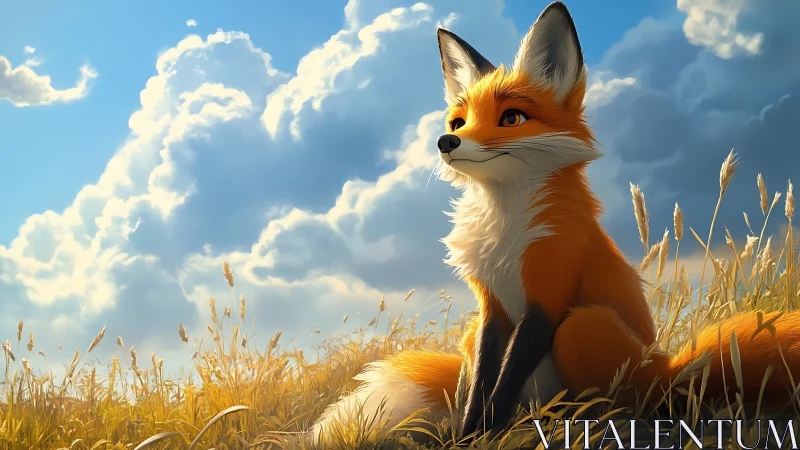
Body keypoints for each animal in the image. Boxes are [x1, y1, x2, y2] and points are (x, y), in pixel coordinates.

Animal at [311, 1, 800, 444]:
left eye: (511, 118)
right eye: (459, 120)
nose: (446, 141)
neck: (505, 229)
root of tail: (671, 372)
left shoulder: (549, 290)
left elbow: (505, 379)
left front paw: (488, 436)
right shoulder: (491, 307)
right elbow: (485, 383)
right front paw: (470, 436)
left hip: (583, 328)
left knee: (628, 407)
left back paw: (588, 425)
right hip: (478, 336)